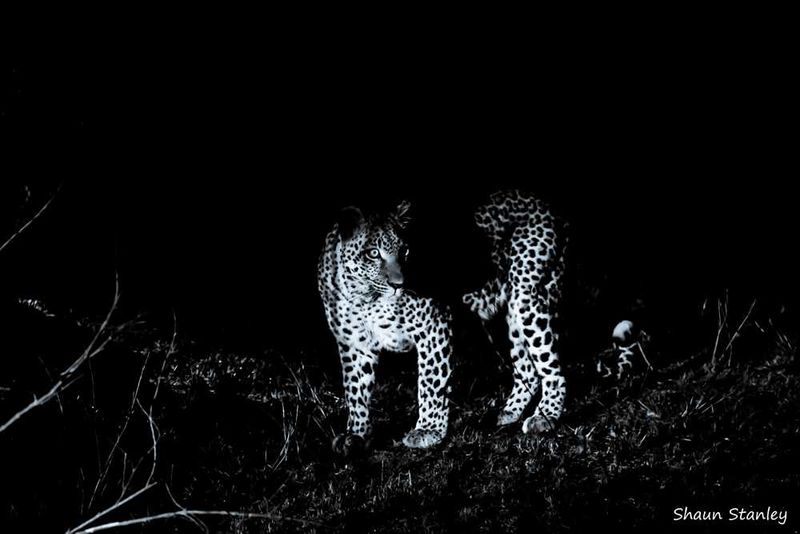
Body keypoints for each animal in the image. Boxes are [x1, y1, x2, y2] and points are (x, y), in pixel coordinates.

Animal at [317, 200, 452, 452]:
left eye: (405, 251)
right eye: (373, 253)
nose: (399, 285)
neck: (365, 298)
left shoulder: (433, 322)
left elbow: (431, 380)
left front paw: (428, 430)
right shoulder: (355, 343)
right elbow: (355, 388)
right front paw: (356, 433)